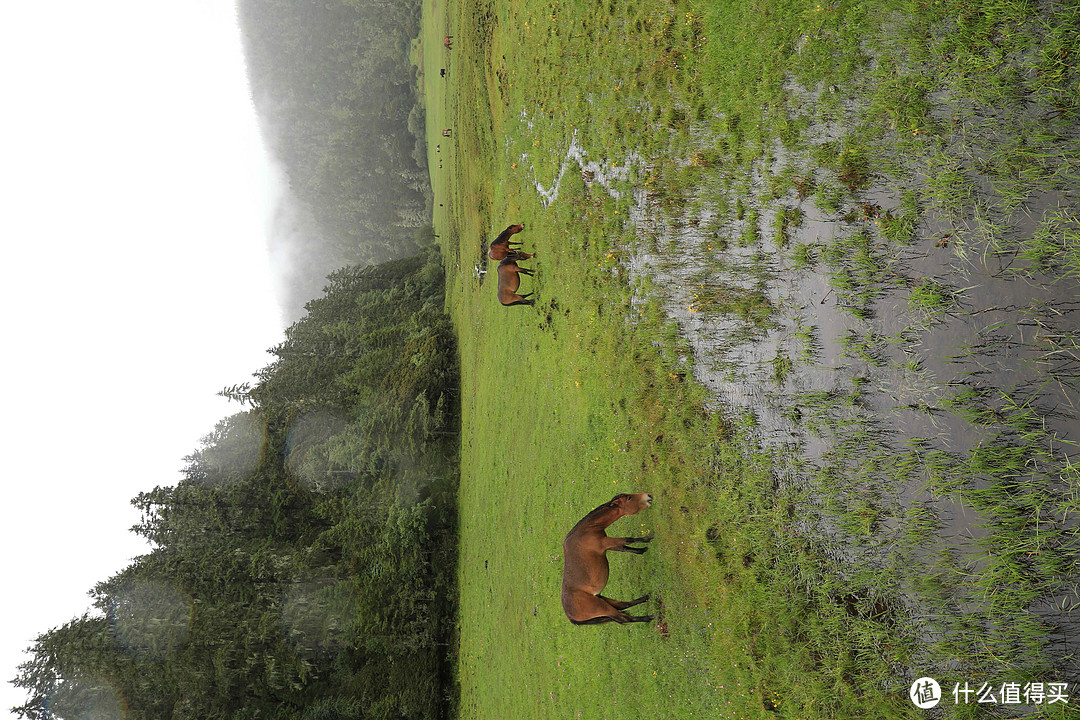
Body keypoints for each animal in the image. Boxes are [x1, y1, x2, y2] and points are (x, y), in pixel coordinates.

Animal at [561, 496, 652, 626]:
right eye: (629, 498)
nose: (649, 497)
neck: (586, 531)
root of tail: (570, 617)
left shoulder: (608, 546)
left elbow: (625, 548)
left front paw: (642, 549)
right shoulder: (606, 542)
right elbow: (628, 540)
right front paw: (648, 538)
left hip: (602, 599)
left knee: (623, 605)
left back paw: (646, 598)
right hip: (603, 607)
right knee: (624, 618)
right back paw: (647, 618)